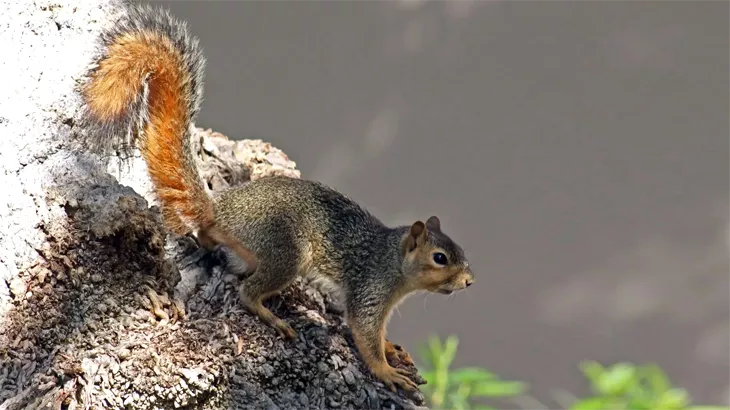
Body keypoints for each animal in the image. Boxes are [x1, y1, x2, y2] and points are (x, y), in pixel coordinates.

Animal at [80, 3, 474, 393]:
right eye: (440, 258)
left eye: (459, 251)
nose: (470, 281)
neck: (393, 260)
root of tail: (219, 211)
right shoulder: (370, 288)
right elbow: (364, 334)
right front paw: (386, 370)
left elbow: (379, 336)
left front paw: (391, 347)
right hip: (286, 252)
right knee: (247, 291)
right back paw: (271, 315)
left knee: (215, 243)